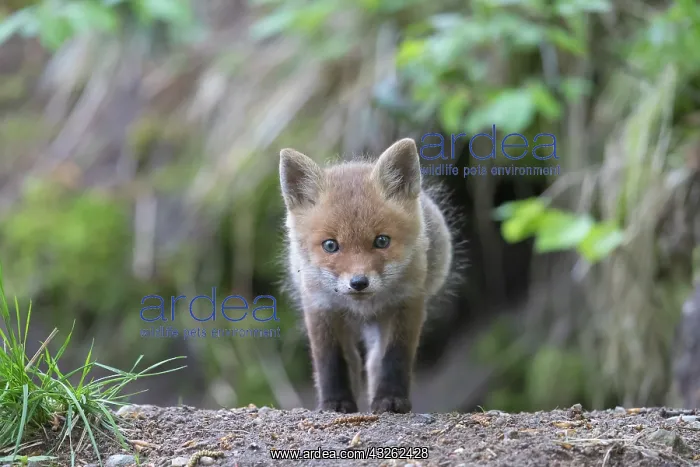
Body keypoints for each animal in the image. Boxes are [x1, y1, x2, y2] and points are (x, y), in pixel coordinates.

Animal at [278, 138, 457, 414]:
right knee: (353, 360)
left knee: (373, 361)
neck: (363, 306)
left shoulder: (407, 304)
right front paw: (335, 402)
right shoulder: (321, 308)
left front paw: (390, 399)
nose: (359, 283)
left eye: (381, 241)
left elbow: (394, 357)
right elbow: (331, 361)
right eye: (330, 245)